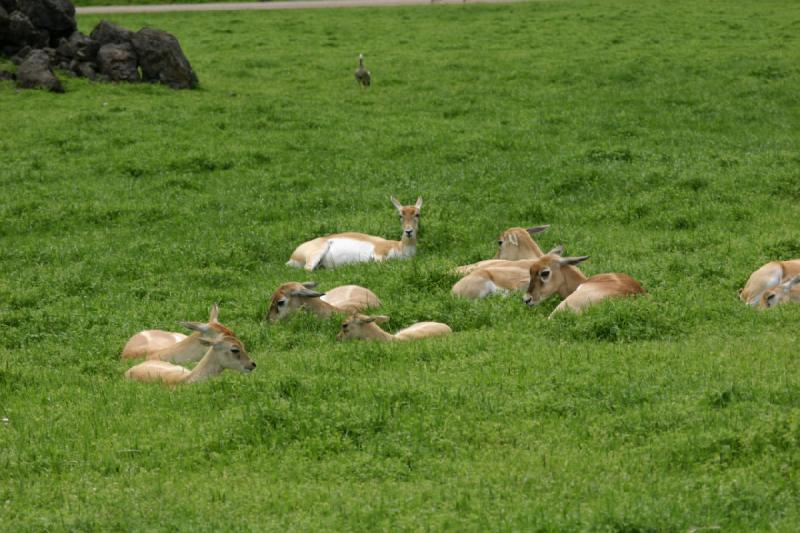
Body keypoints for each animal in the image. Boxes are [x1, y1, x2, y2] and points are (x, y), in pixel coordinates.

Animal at [290, 195, 424, 270]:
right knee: (308, 269)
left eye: (417, 214)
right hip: (317, 252)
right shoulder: (378, 253)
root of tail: (293, 255)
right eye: (400, 215)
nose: (408, 231)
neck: (400, 247)